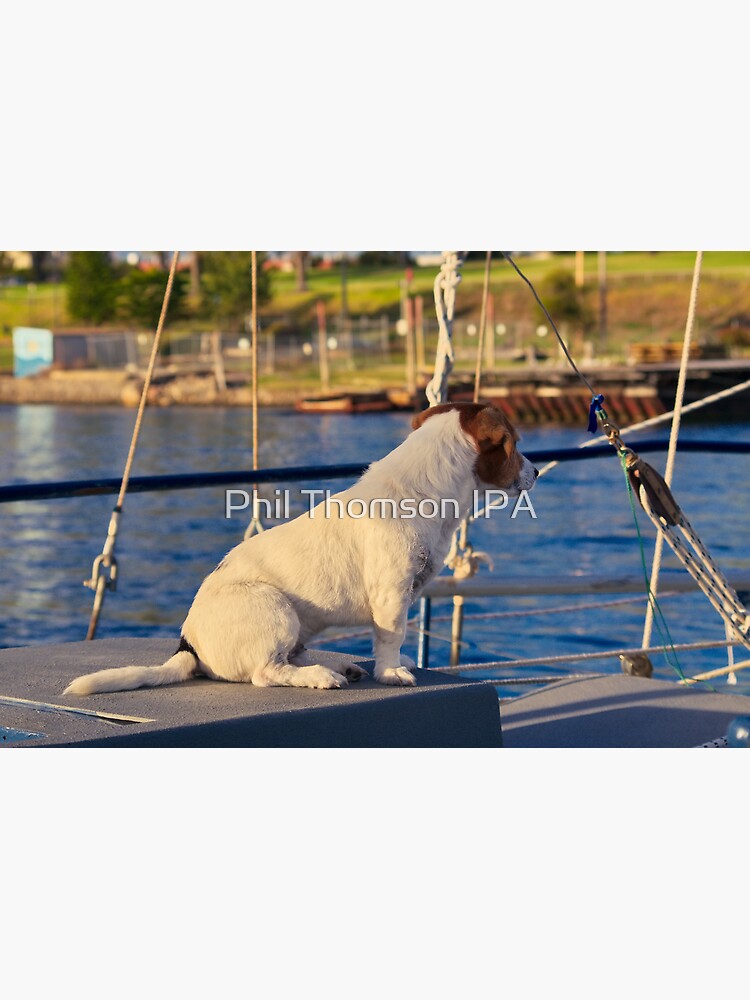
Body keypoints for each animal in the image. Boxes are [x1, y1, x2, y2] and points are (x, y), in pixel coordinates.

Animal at [63, 400, 536, 696]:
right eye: (515, 443)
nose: (534, 472)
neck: (423, 487)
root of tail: (187, 647)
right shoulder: (391, 595)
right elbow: (391, 638)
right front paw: (391, 672)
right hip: (275, 609)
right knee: (266, 672)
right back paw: (321, 676)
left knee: (291, 655)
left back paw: (337, 665)